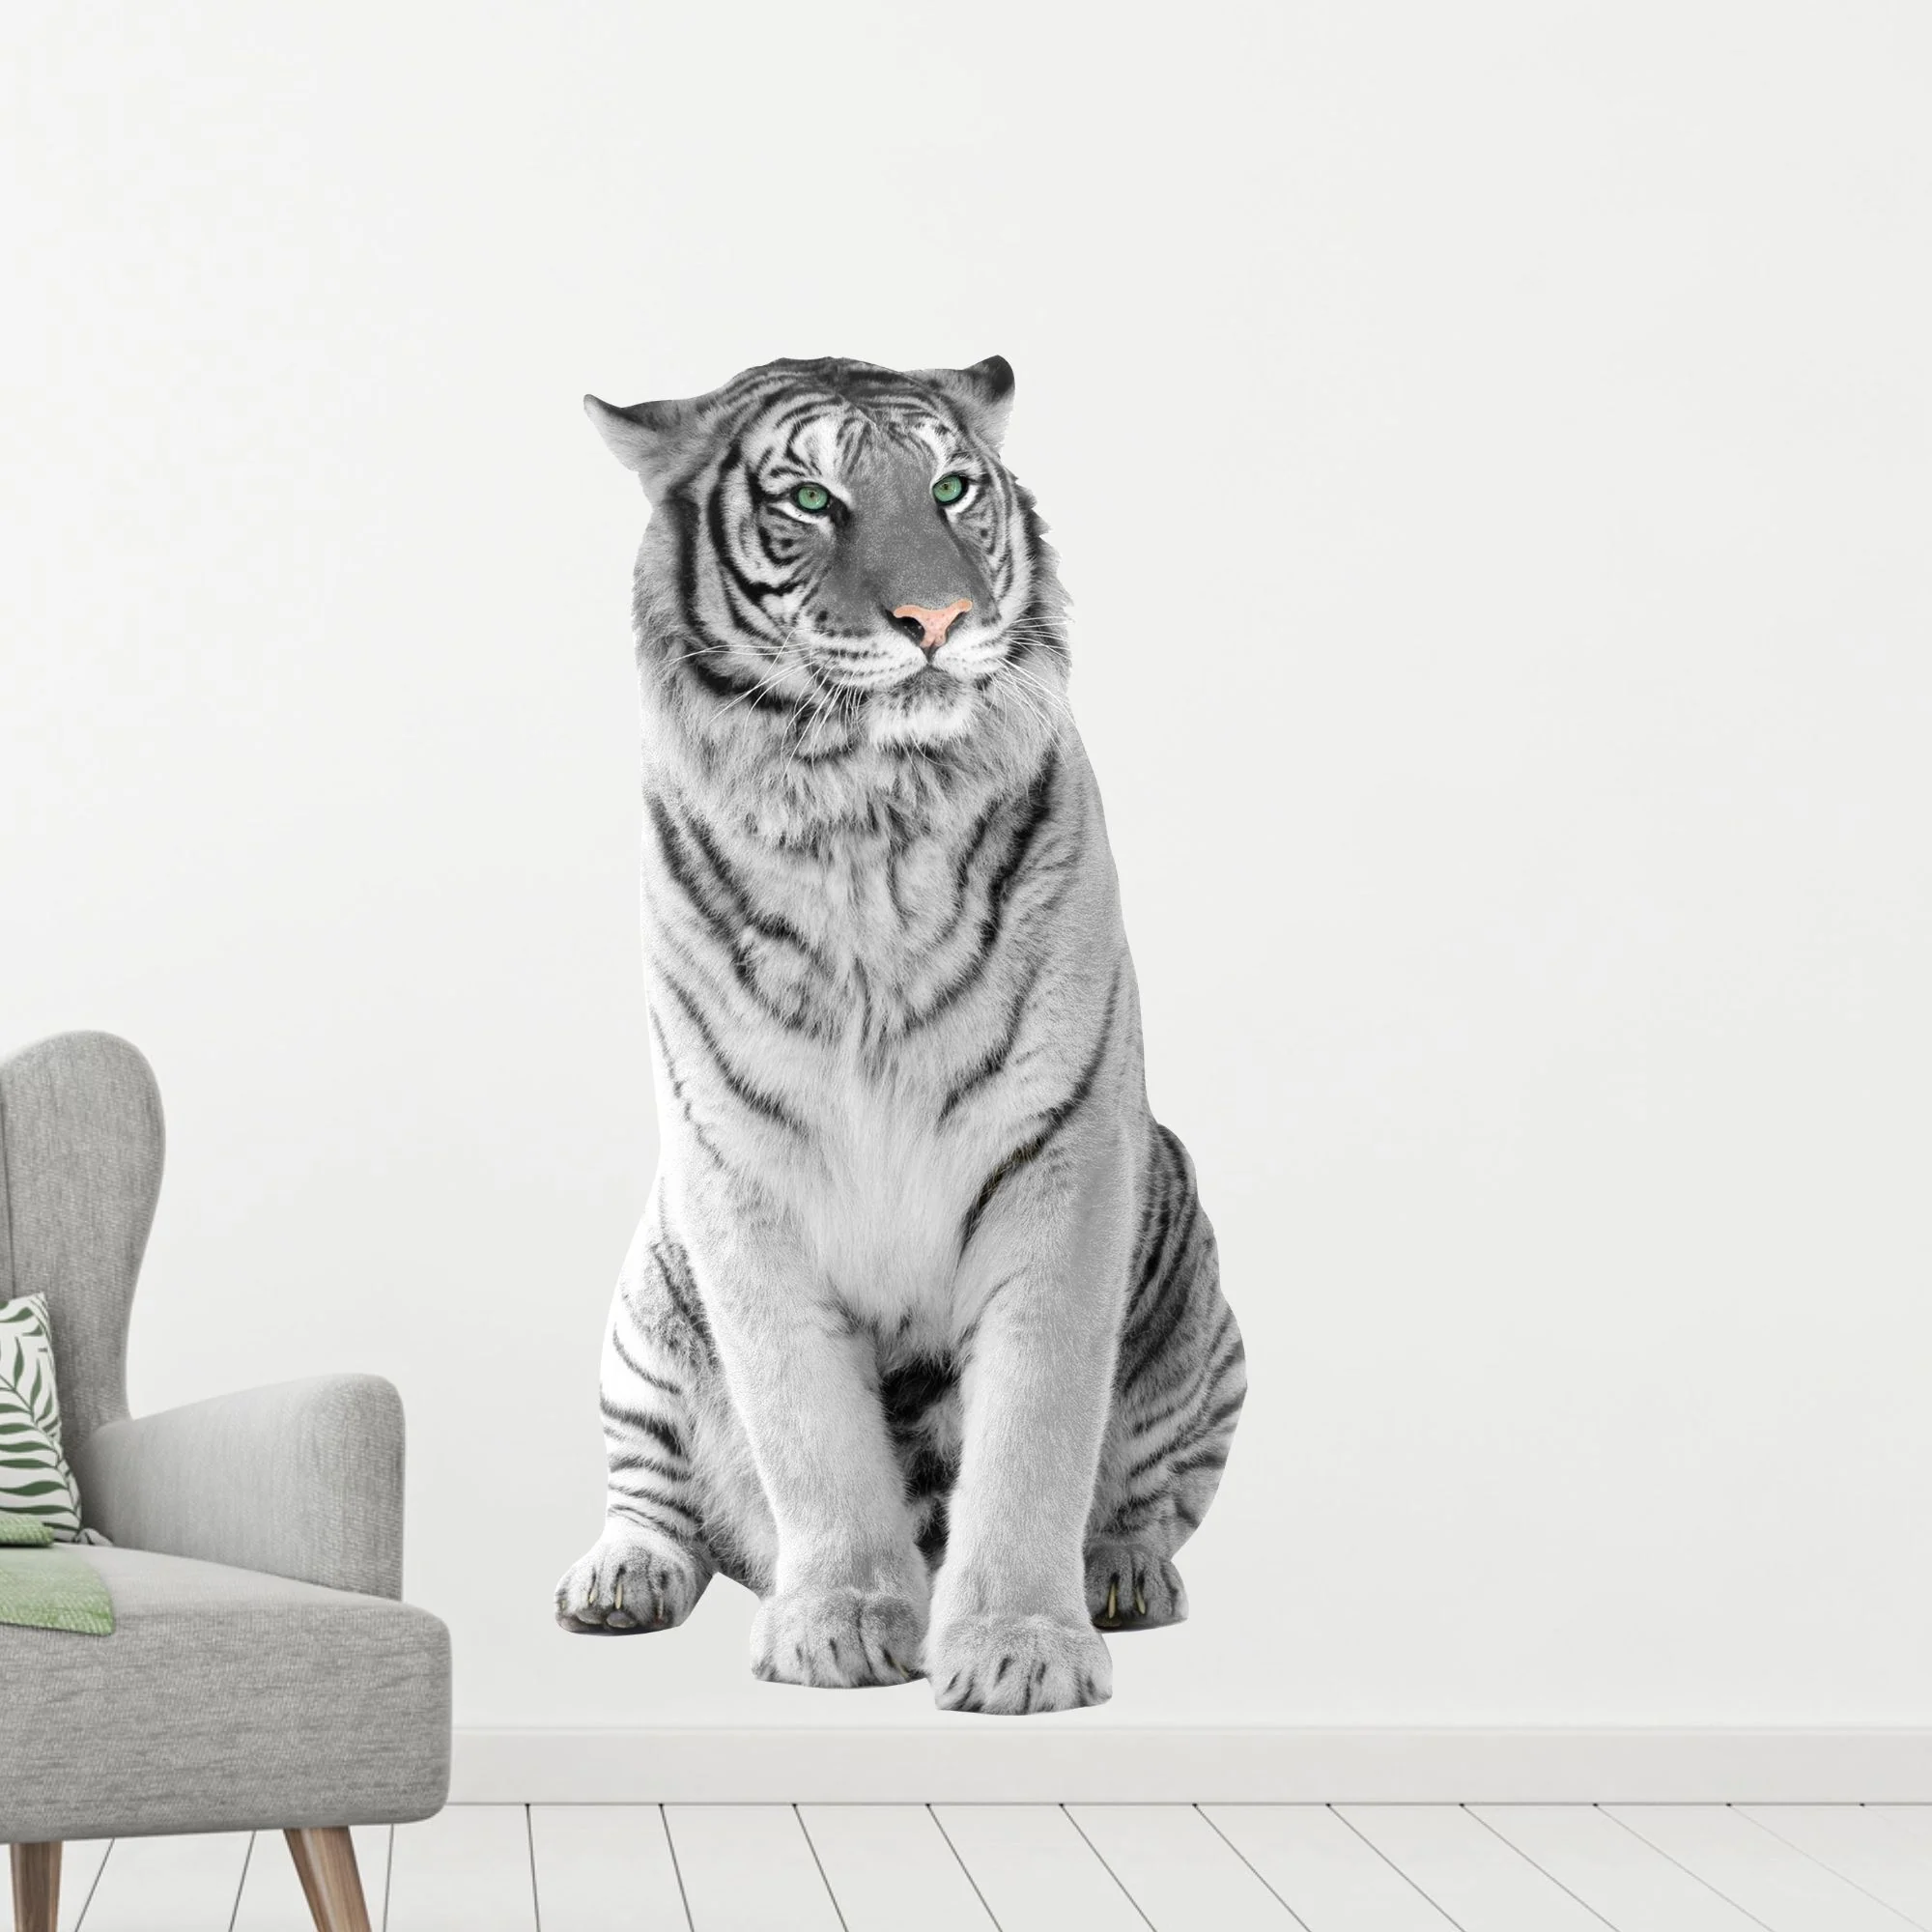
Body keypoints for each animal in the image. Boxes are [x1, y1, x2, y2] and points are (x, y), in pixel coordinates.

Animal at [553, 354, 1245, 1714]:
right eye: (811, 497)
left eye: (952, 487)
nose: (936, 616)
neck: (866, 808)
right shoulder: (737, 1173)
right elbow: (807, 1424)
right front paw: (839, 1621)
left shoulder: (1061, 1161)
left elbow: (1035, 1429)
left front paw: (1023, 1646)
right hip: (645, 1302)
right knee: (654, 1490)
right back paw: (619, 1577)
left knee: (1150, 1493)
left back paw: (1121, 1573)